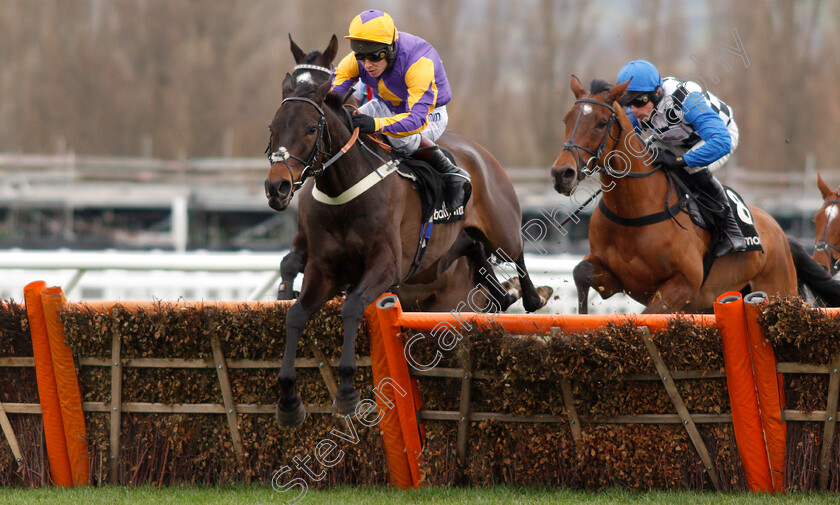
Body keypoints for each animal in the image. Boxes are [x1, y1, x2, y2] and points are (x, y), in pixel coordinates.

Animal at [266, 78, 548, 426]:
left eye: (309, 129)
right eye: (273, 128)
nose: (276, 187)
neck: (344, 193)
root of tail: (479, 152)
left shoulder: (386, 267)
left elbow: (352, 307)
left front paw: (346, 392)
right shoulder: (324, 271)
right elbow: (295, 314)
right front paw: (288, 401)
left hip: (499, 229)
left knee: (517, 254)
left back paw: (533, 297)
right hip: (444, 256)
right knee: (476, 255)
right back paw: (503, 295)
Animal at [548, 75, 840, 314]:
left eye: (600, 123)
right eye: (566, 120)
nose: (562, 173)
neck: (633, 212)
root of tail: (780, 233)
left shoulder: (682, 288)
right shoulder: (618, 280)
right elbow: (580, 271)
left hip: (779, 288)